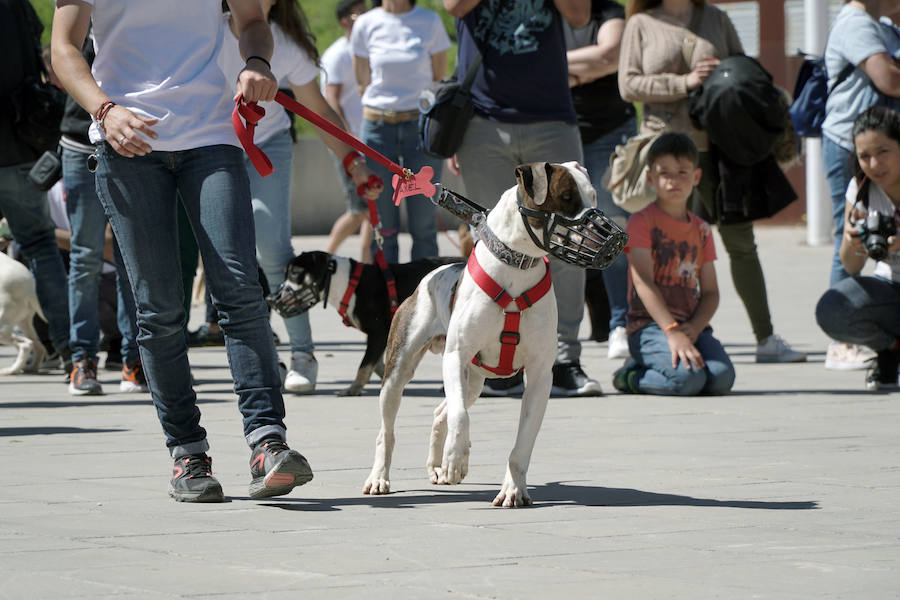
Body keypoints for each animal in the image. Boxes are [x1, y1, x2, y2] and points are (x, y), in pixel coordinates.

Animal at [362, 163, 628, 506]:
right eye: (567, 197)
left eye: (593, 196)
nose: (617, 239)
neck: (517, 265)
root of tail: (429, 276)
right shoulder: (456, 356)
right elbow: (461, 418)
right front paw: (456, 460)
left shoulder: (540, 375)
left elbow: (523, 443)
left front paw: (513, 489)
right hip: (400, 372)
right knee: (390, 429)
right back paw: (381, 478)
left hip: (473, 382)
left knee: (441, 411)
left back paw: (436, 466)